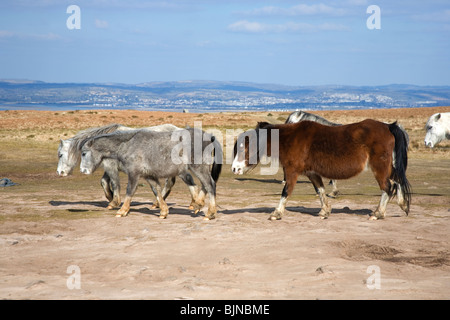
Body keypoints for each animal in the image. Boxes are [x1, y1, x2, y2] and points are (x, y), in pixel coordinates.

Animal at [232, 119, 412, 221]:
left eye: (245, 147)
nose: (235, 169)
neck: (291, 139)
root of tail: (389, 127)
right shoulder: (312, 173)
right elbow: (320, 190)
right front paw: (325, 211)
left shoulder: (292, 172)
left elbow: (285, 192)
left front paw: (276, 213)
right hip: (387, 167)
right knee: (397, 181)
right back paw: (403, 205)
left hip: (379, 167)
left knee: (387, 187)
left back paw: (378, 213)